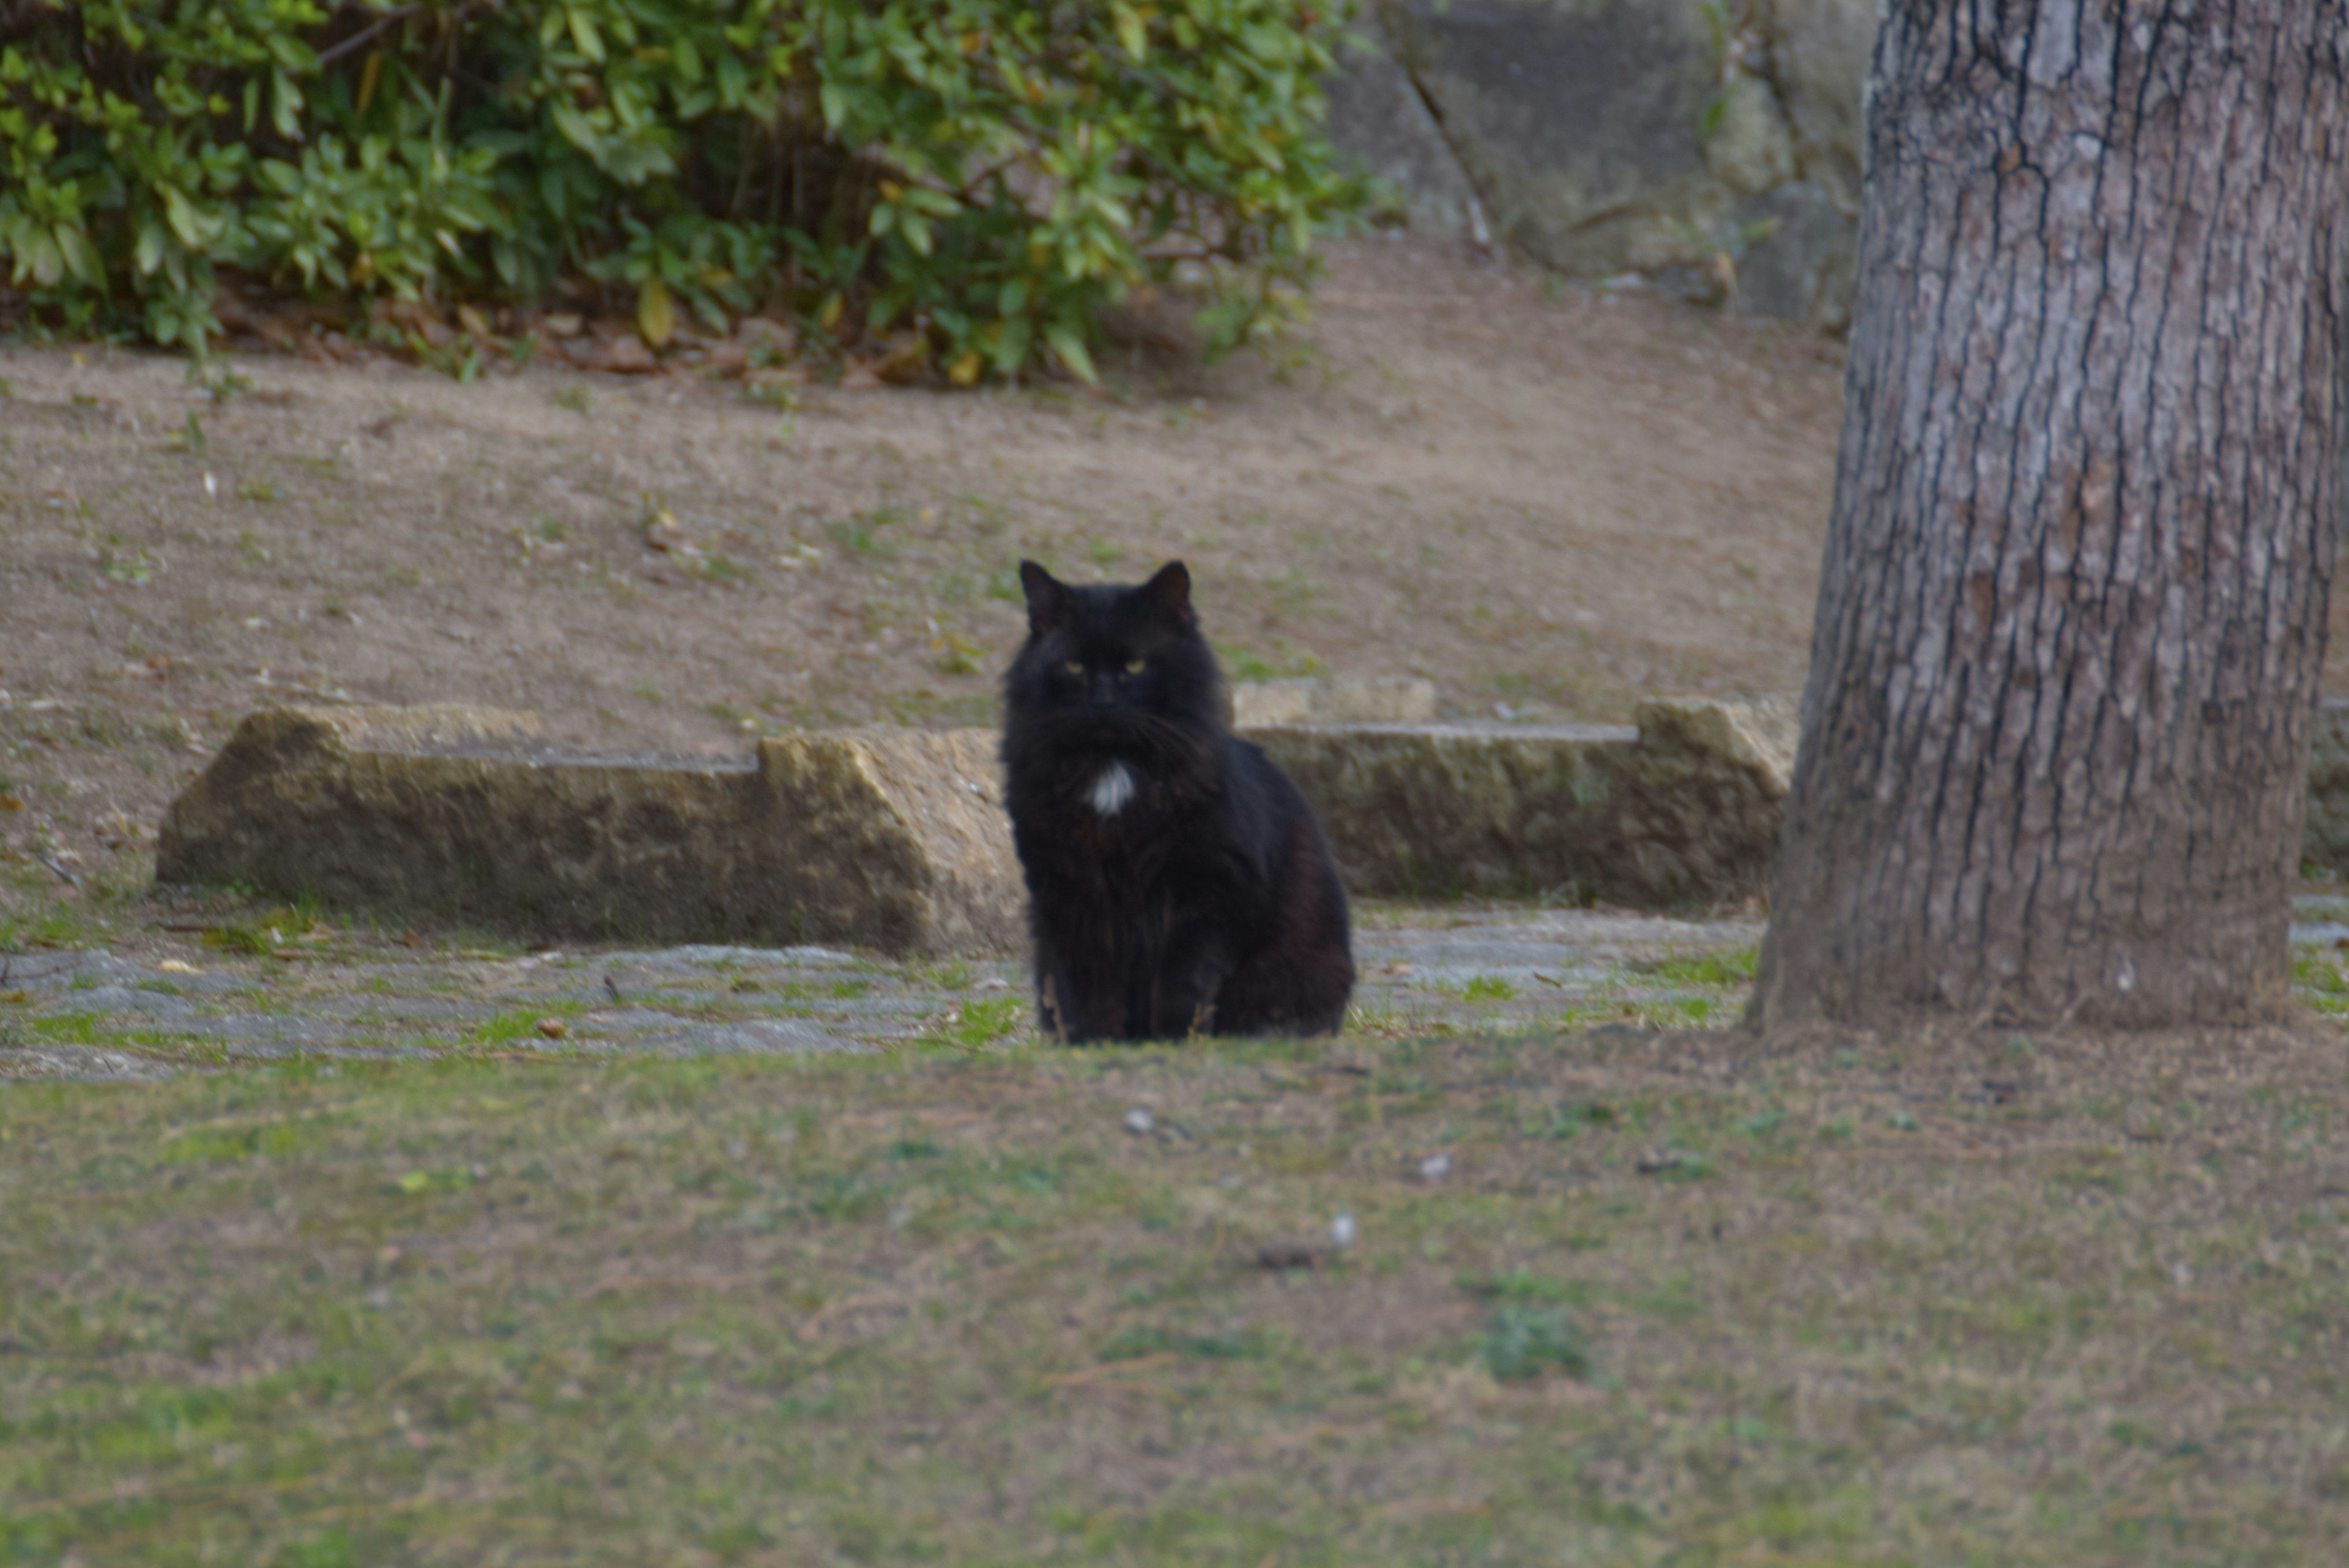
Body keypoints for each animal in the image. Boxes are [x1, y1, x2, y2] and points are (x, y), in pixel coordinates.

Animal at [996, 557, 1362, 1048]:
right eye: (1073, 666)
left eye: (1134, 664)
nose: (1102, 702)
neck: (1114, 769)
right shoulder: (1067, 892)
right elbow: (1083, 983)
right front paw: (1092, 1043)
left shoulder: (1209, 889)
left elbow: (1182, 981)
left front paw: (1174, 1038)